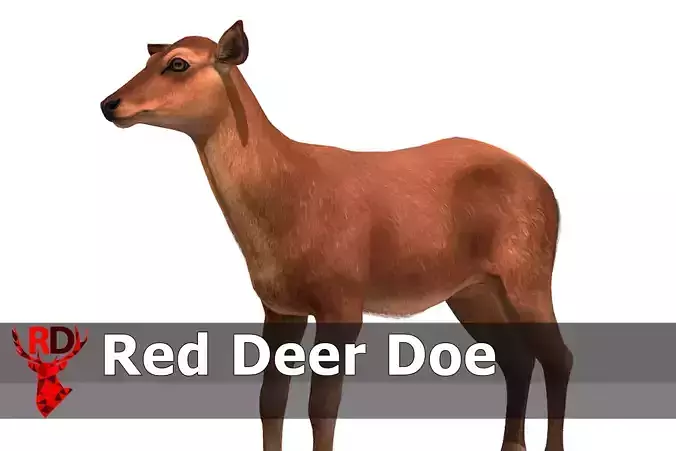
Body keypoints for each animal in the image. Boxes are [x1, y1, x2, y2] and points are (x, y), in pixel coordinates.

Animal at [100, 19, 573, 451]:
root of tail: (547, 189)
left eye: (178, 63)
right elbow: (270, 399)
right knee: (517, 358)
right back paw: (512, 445)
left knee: (558, 357)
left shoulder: (342, 299)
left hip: (527, 272)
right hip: (474, 290)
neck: (285, 200)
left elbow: (322, 405)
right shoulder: (279, 307)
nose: (109, 103)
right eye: (150, 59)